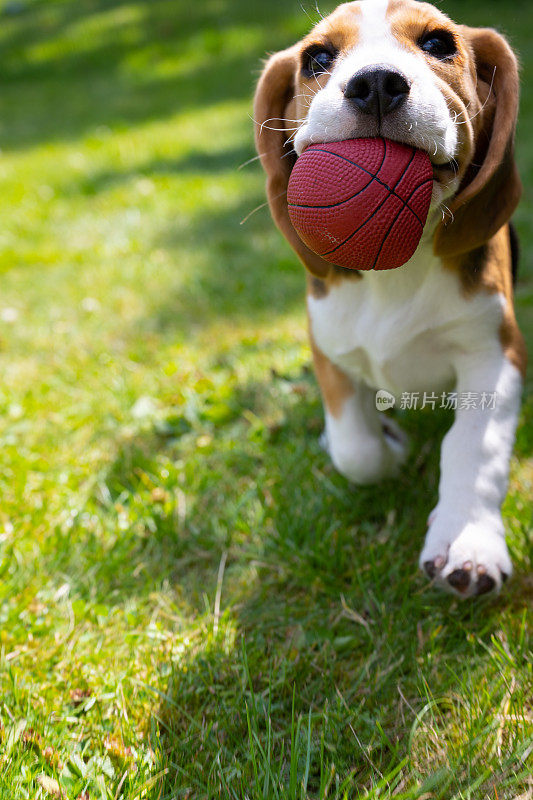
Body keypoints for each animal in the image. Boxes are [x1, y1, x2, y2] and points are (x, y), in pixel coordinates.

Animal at [254, 0, 524, 596]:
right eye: (317, 58)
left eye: (440, 44)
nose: (376, 82)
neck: (394, 269)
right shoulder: (327, 347)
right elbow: (357, 451)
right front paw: (388, 444)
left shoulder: (495, 354)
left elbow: (474, 448)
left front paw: (467, 541)